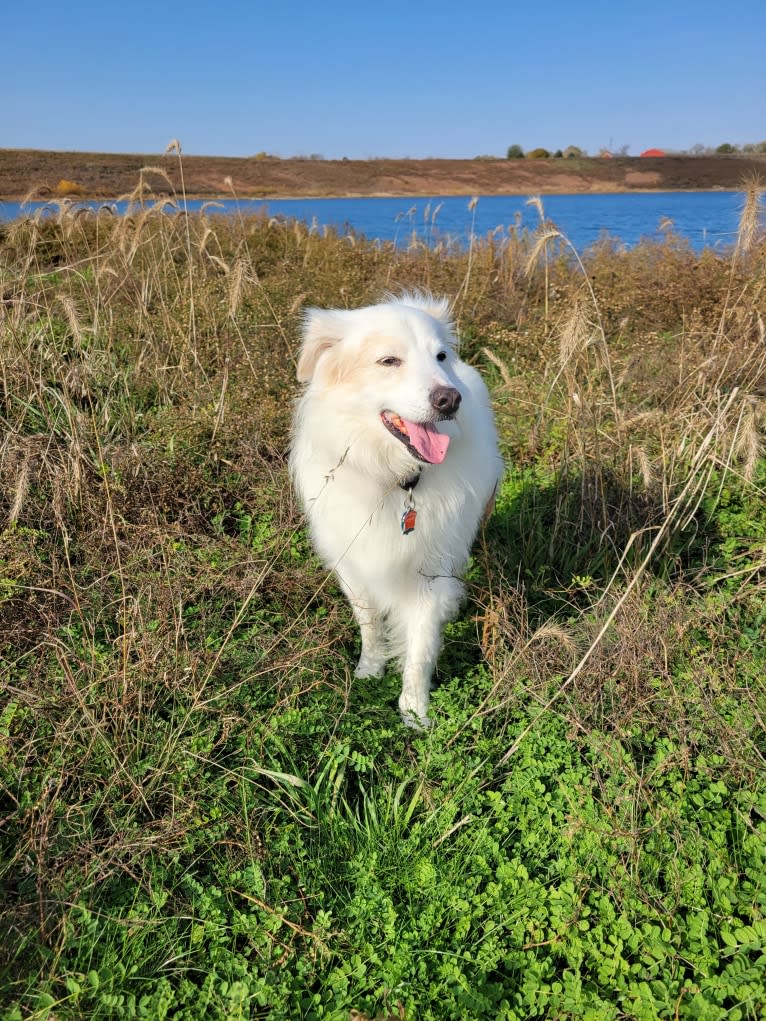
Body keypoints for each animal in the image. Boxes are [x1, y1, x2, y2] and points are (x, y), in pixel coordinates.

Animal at [290, 292, 504, 731]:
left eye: (439, 356)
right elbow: (370, 624)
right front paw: (369, 670)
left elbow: (420, 648)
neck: (396, 478)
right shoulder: (353, 567)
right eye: (389, 361)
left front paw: (415, 712)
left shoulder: (430, 571)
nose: (450, 399)